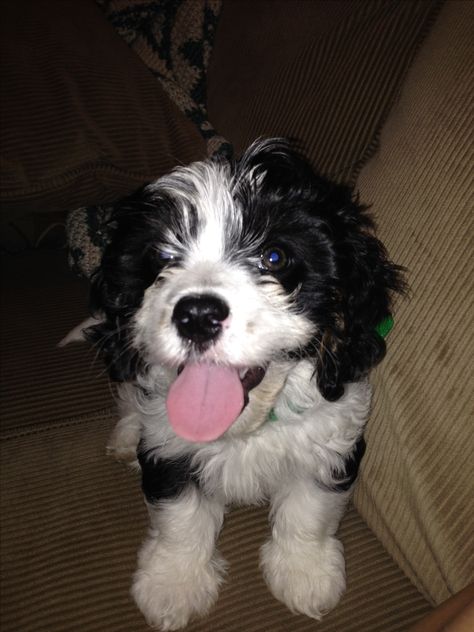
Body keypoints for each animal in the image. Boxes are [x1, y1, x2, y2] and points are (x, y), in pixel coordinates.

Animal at [76, 141, 402, 628]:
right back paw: (125, 438)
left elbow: (310, 509)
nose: (197, 315)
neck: (246, 427)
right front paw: (172, 584)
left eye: (274, 258)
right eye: (164, 256)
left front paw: (305, 574)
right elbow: (179, 516)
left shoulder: (331, 440)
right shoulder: (169, 448)